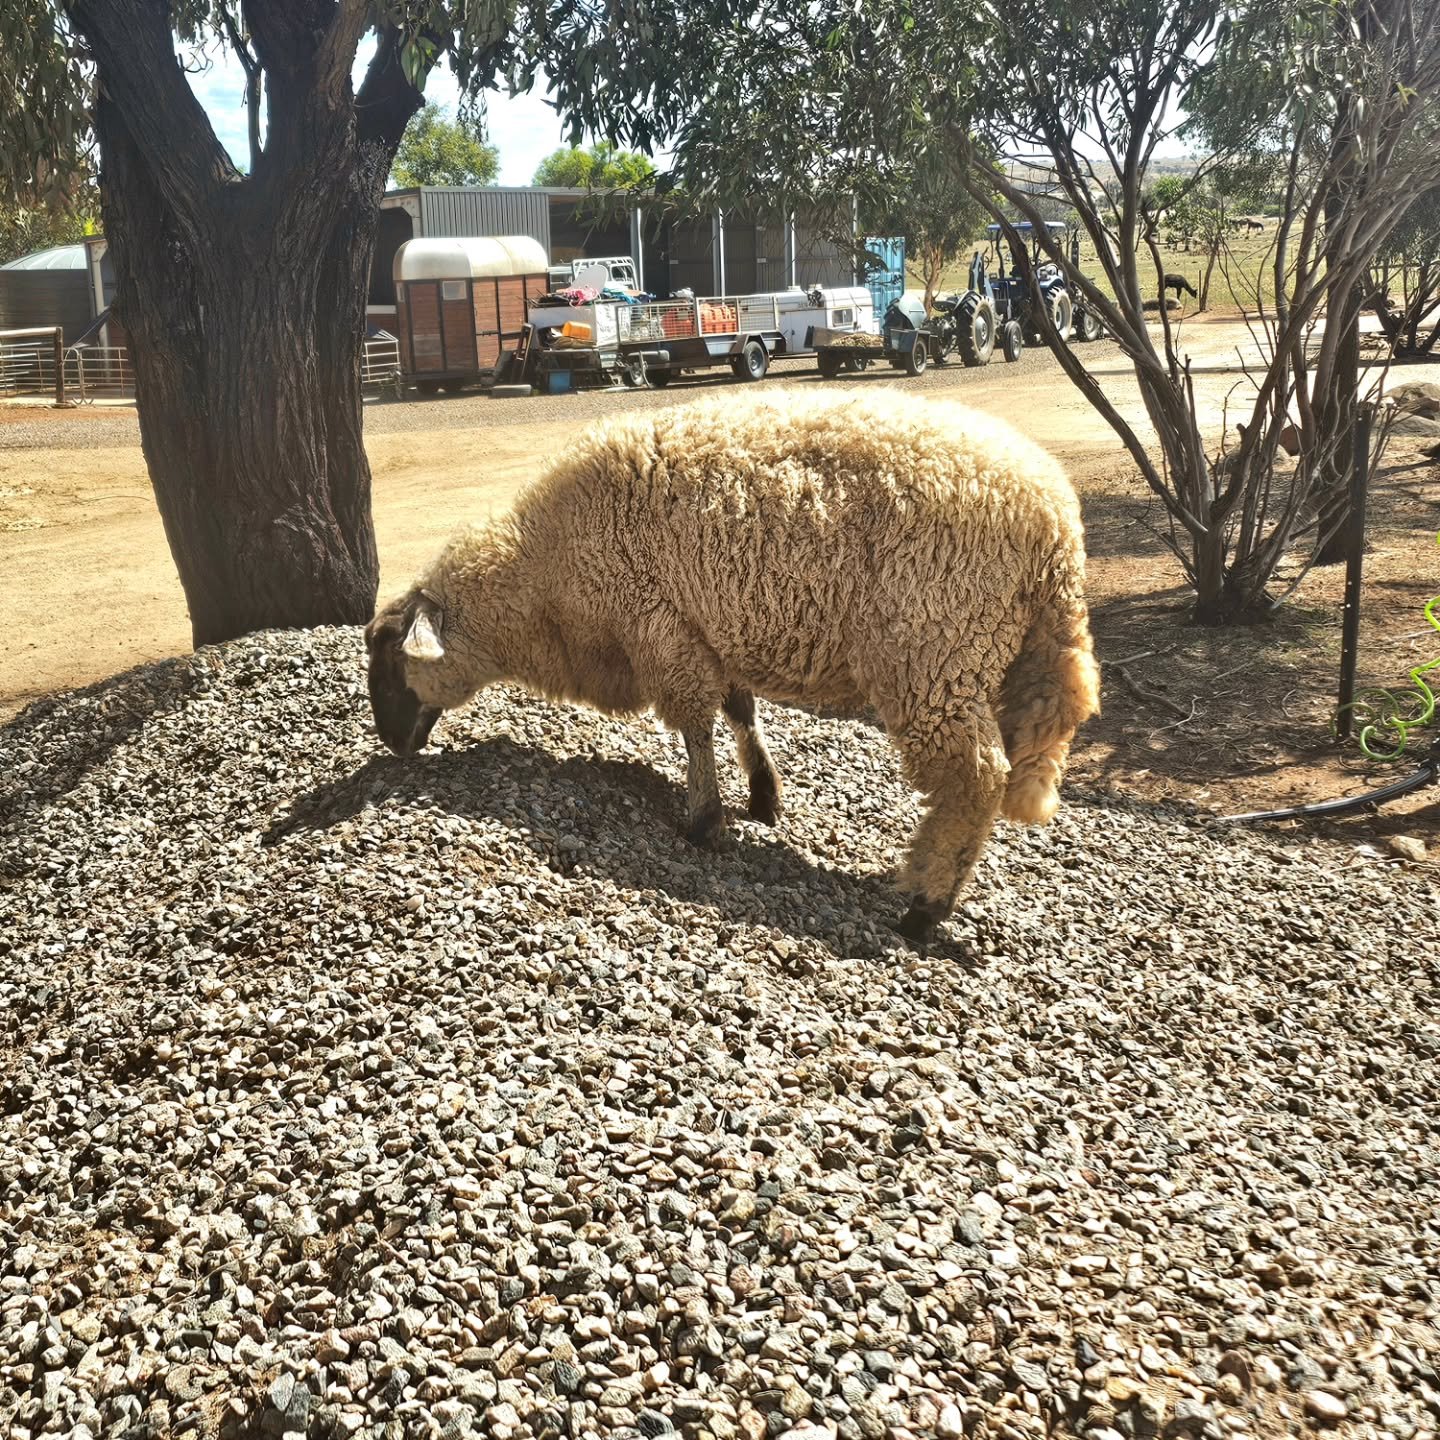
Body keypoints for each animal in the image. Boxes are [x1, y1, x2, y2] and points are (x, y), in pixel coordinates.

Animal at [365, 389, 1100, 941]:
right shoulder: (709, 628)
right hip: (989, 655)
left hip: (934, 648)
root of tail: (1058, 529)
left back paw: (925, 906)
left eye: (391, 658)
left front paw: (703, 819)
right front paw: (763, 793)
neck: (543, 580)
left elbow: (695, 725)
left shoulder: (661, 626)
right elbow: (738, 709)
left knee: (975, 778)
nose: (392, 745)